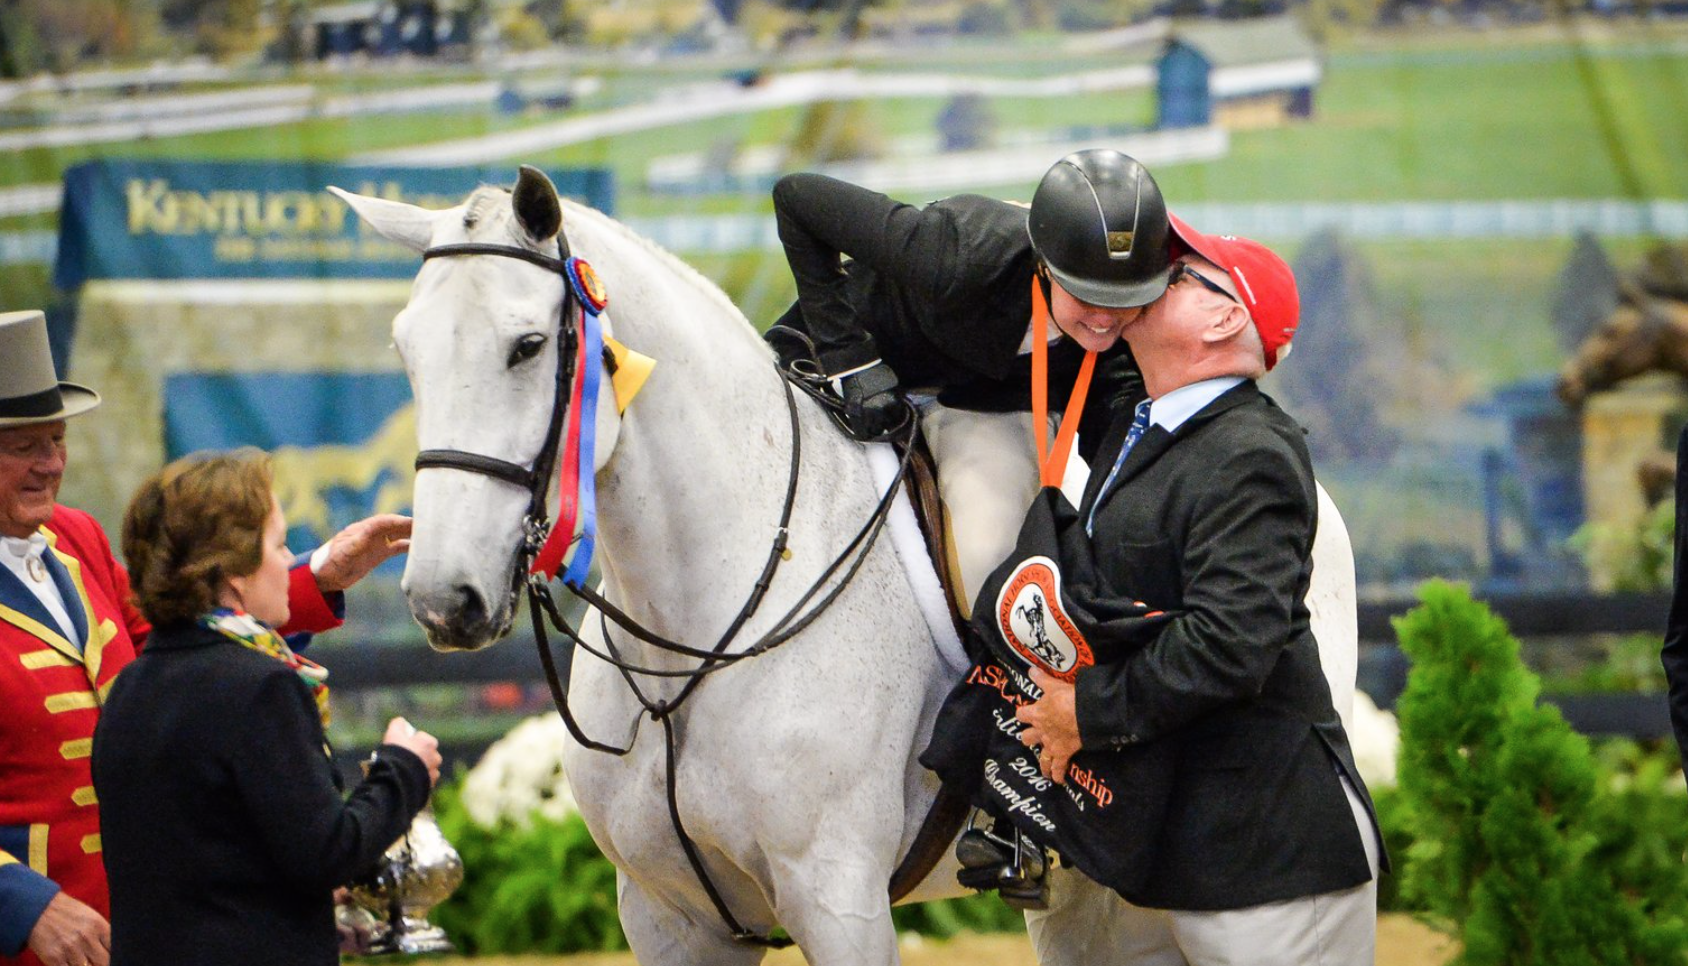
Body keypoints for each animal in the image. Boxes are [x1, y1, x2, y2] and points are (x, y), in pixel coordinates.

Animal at [329, 171, 1357, 966]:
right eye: (405, 351)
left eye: (528, 346)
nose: (445, 601)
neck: (695, 640)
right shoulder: (666, 916)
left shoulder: (838, 900)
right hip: (1080, 896)